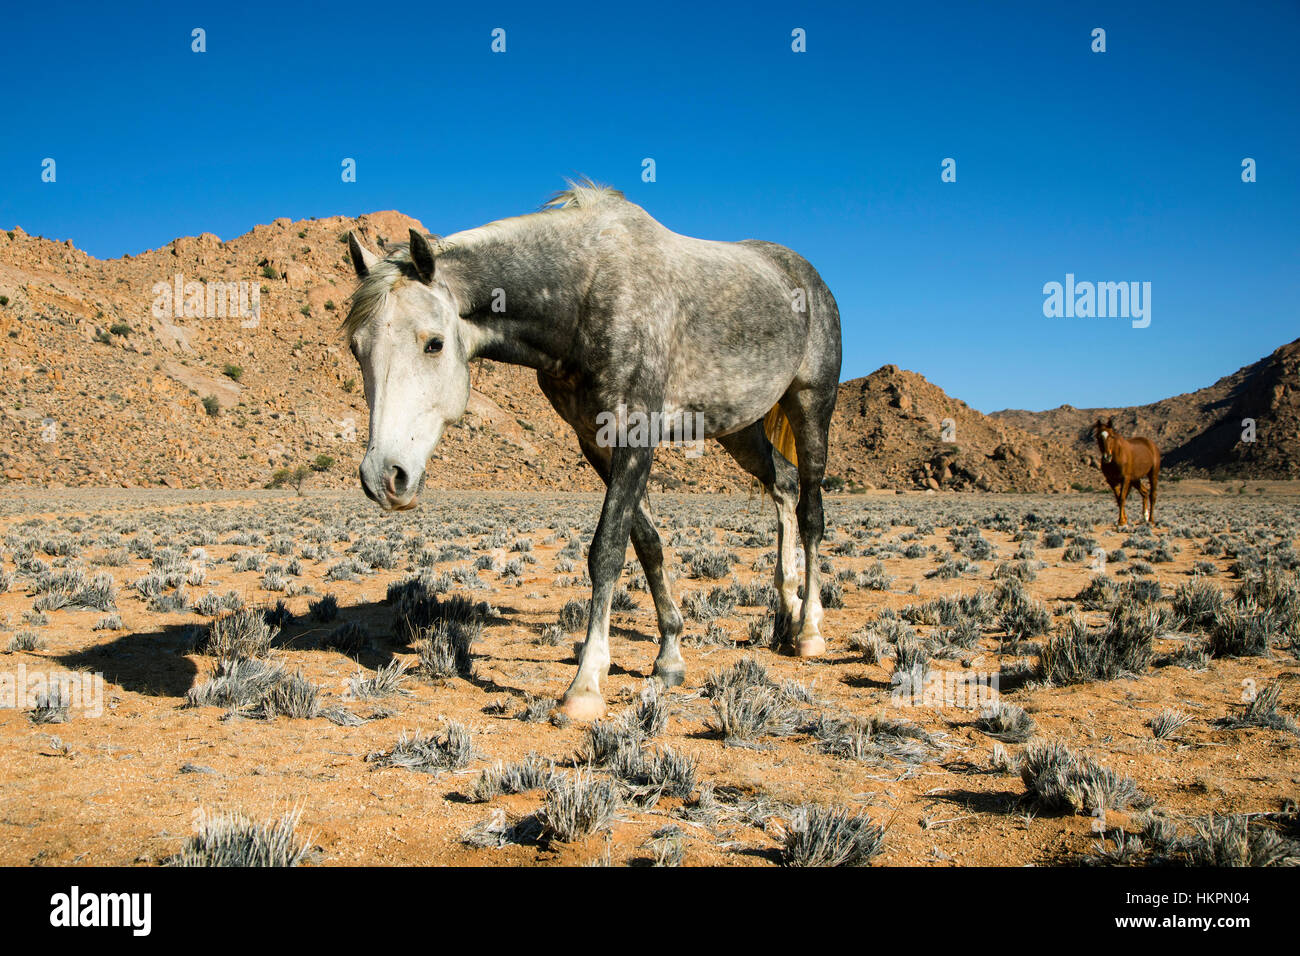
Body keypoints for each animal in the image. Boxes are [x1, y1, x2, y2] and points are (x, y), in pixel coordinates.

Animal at [343, 182, 842, 720]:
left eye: (433, 343)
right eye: (356, 348)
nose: (383, 477)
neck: (586, 293)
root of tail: (807, 277)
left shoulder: (635, 436)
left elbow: (607, 549)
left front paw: (586, 684)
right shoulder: (594, 442)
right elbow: (646, 543)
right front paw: (669, 656)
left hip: (812, 404)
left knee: (811, 510)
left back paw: (810, 629)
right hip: (739, 427)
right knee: (784, 483)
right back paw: (786, 611)